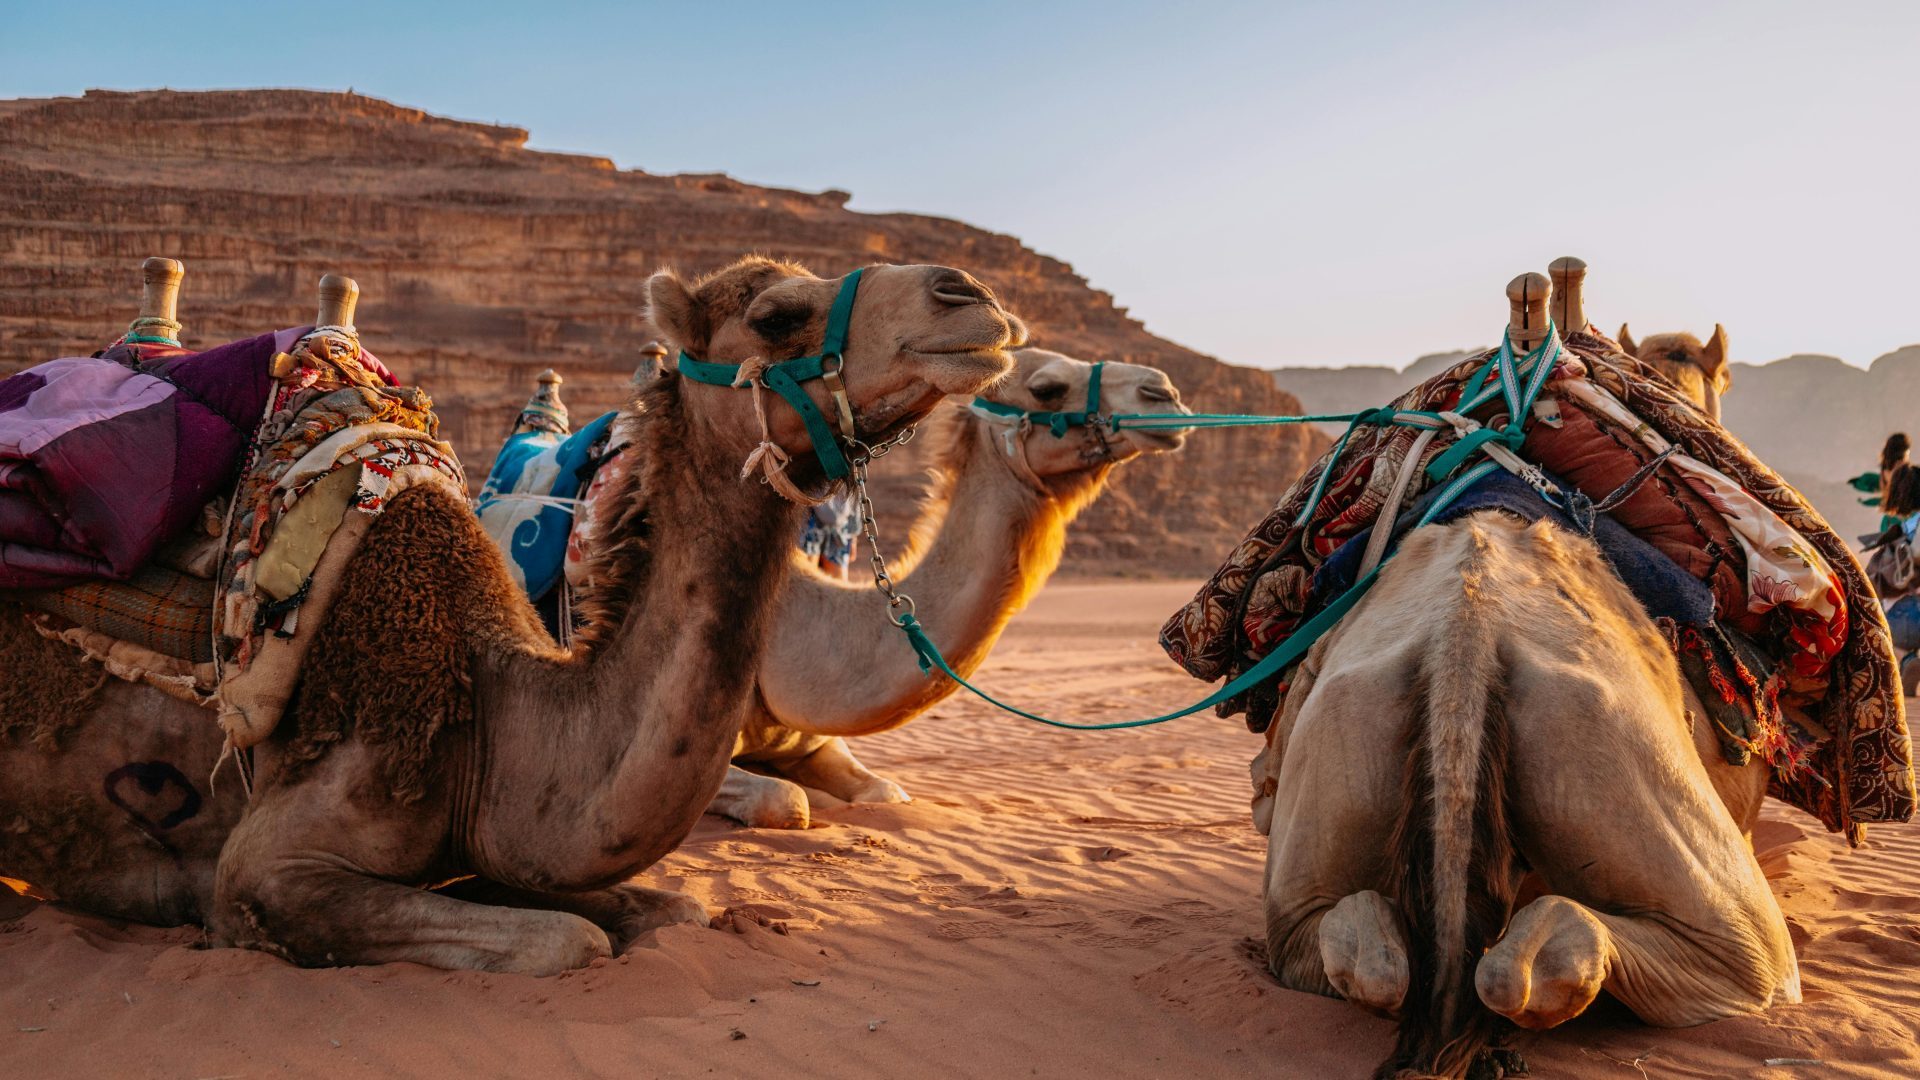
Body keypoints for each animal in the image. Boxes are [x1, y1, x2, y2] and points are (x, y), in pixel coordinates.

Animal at [0, 256, 1025, 973]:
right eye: (775, 315)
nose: (969, 294)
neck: (491, 720)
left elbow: (671, 909)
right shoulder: (266, 866)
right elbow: (569, 941)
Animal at [1260, 276, 1796, 1077]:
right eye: (1724, 379)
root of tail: (1465, 639)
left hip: (1336, 756)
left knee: (1359, 947)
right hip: (1613, 757)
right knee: (1718, 956)